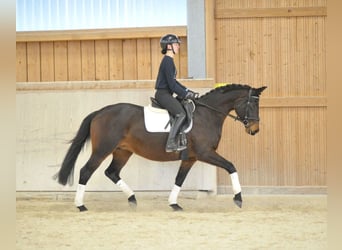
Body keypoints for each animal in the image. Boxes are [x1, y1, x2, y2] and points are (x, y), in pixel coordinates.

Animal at [55, 84, 268, 211]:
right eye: (252, 105)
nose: (255, 130)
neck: (207, 115)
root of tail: (100, 112)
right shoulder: (205, 153)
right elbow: (231, 166)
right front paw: (238, 198)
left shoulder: (190, 158)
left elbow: (179, 179)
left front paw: (174, 203)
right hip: (102, 150)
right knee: (86, 171)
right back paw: (81, 205)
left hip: (123, 151)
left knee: (112, 172)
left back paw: (132, 199)